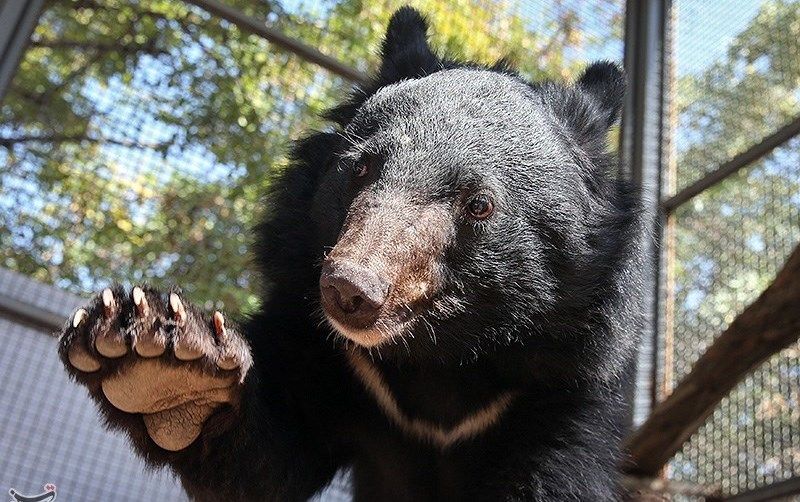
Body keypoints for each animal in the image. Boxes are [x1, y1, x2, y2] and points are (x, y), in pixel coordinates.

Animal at [57, 7, 644, 502]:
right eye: (361, 168)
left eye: (478, 204)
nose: (350, 290)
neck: (437, 357)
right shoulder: (334, 358)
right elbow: (265, 462)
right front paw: (160, 359)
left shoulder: (565, 386)